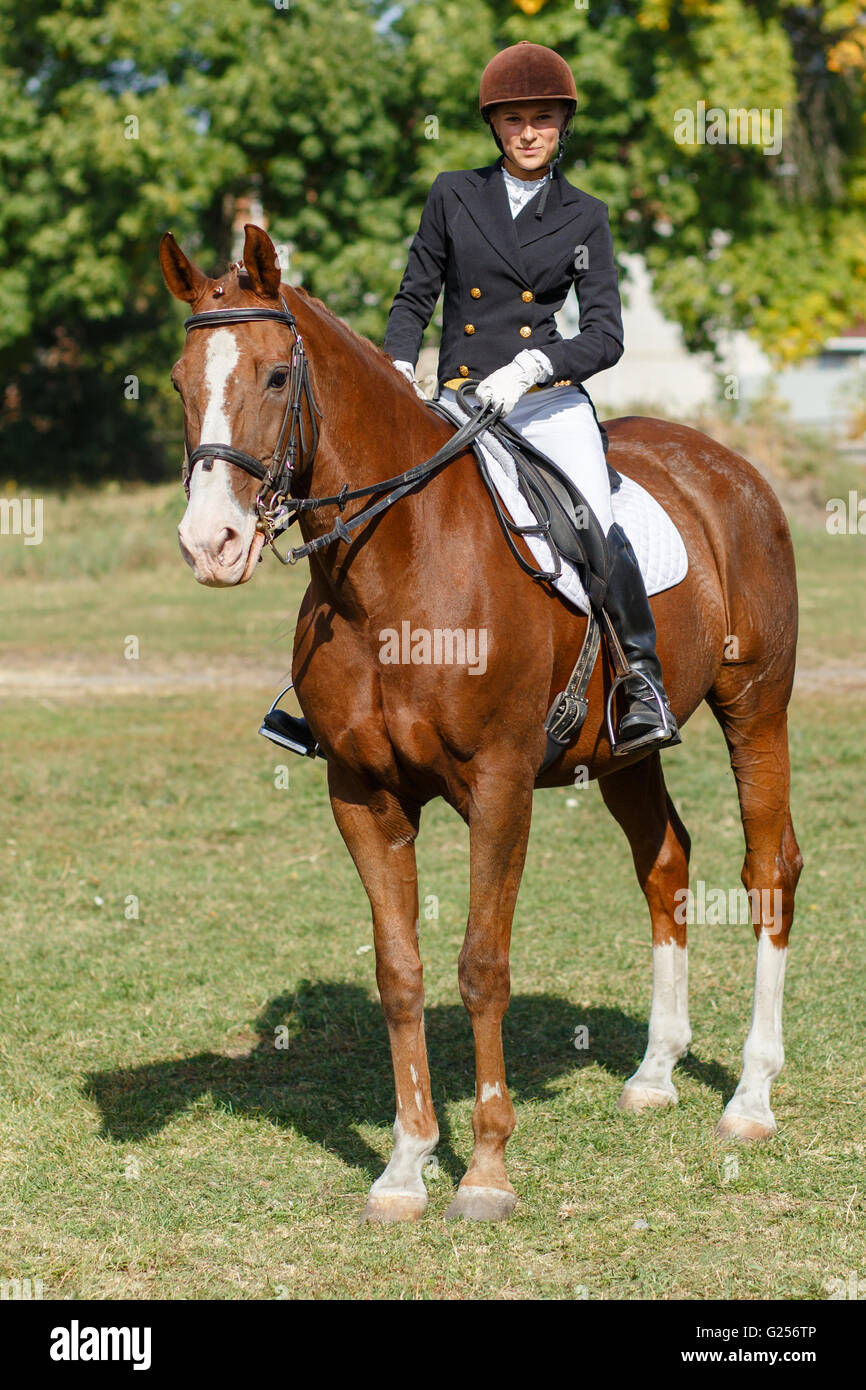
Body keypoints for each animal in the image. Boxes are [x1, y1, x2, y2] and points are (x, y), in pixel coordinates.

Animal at [161, 222, 806, 1223]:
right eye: (179, 383)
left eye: (273, 377)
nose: (211, 545)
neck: (397, 568)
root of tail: (727, 467)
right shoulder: (363, 794)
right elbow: (400, 974)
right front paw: (404, 1166)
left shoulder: (500, 786)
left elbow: (481, 966)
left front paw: (487, 1171)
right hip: (622, 754)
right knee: (665, 865)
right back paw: (655, 1075)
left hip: (756, 706)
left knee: (768, 870)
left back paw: (749, 1097)